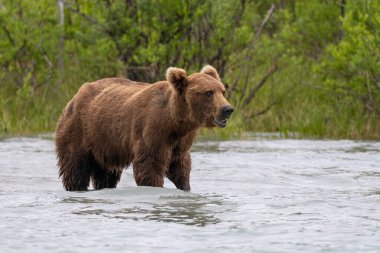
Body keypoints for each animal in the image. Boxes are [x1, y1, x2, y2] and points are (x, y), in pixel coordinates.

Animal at [55, 65, 233, 192]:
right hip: (79, 130)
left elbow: (181, 168)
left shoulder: (181, 142)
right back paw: (77, 187)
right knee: (76, 168)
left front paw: (185, 187)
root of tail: (76, 95)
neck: (175, 121)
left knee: (106, 173)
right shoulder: (153, 131)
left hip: (105, 143)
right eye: (208, 92)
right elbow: (150, 167)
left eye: (222, 90)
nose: (227, 109)